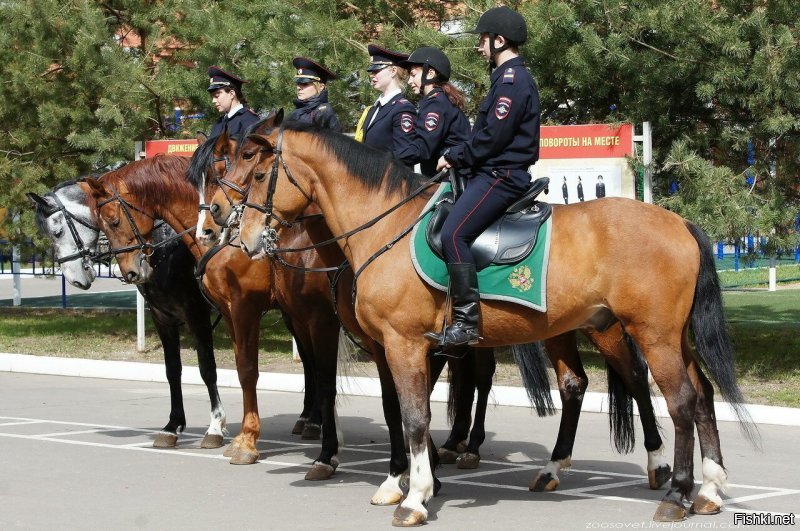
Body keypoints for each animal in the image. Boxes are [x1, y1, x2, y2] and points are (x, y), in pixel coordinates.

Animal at [28, 180, 227, 448]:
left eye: (57, 232)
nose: (76, 280)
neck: (166, 243)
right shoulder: (162, 317)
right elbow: (172, 369)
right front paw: (172, 426)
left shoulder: (197, 314)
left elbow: (207, 368)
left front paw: (215, 426)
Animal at [230, 121, 756, 528]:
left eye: (258, 173)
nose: (241, 233)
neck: (387, 226)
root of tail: (678, 222)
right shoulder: (391, 348)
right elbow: (399, 411)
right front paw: (402, 482)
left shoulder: (404, 344)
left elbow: (414, 416)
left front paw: (416, 496)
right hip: (669, 337)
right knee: (700, 395)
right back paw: (707, 490)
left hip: (651, 334)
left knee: (680, 400)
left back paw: (676, 492)